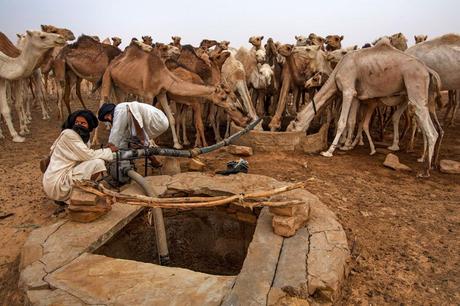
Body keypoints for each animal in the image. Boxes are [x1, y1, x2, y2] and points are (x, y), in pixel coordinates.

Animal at [288, 38, 442, 177]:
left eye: (293, 124)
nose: (293, 49)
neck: (337, 70)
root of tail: (428, 70)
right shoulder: (356, 95)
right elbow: (352, 121)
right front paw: (347, 145)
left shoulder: (348, 90)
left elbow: (342, 121)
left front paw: (329, 151)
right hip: (422, 96)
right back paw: (422, 160)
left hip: (415, 84)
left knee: (429, 130)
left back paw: (425, 170)